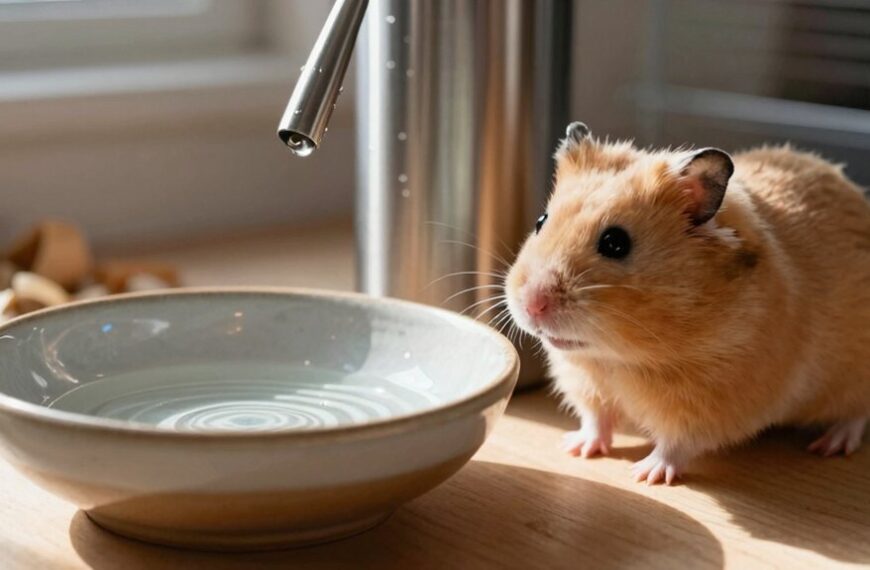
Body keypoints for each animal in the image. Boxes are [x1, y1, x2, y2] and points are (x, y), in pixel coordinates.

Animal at [505, 121, 870, 485]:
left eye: (615, 243)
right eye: (540, 221)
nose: (532, 305)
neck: (618, 359)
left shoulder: (707, 405)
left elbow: (676, 444)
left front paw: (644, 475)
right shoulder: (587, 385)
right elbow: (596, 419)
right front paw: (576, 448)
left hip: (854, 377)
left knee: (857, 414)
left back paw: (830, 445)